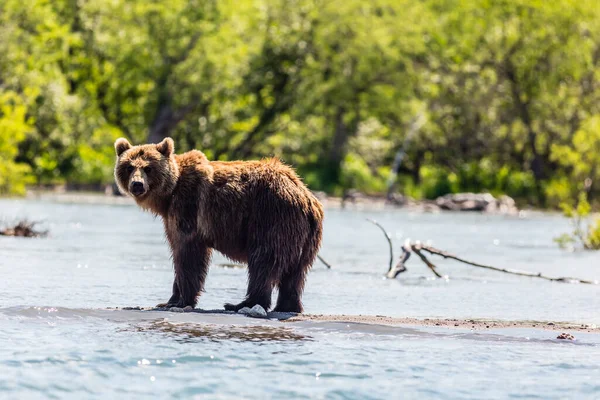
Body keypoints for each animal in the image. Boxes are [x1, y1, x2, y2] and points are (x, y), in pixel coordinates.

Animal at [115, 137, 326, 312]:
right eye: (129, 167)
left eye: (148, 168)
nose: (137, 185)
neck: (168, 196)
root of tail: (306, 197)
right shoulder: (171, 218)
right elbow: (177, 250)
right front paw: (168, 301)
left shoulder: (189, 207)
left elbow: (188, 255)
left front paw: (182, 300)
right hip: (304, 236)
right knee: (295, 273)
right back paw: (287, 306)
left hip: (271, 217)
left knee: (264, 261)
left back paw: (241, 303)